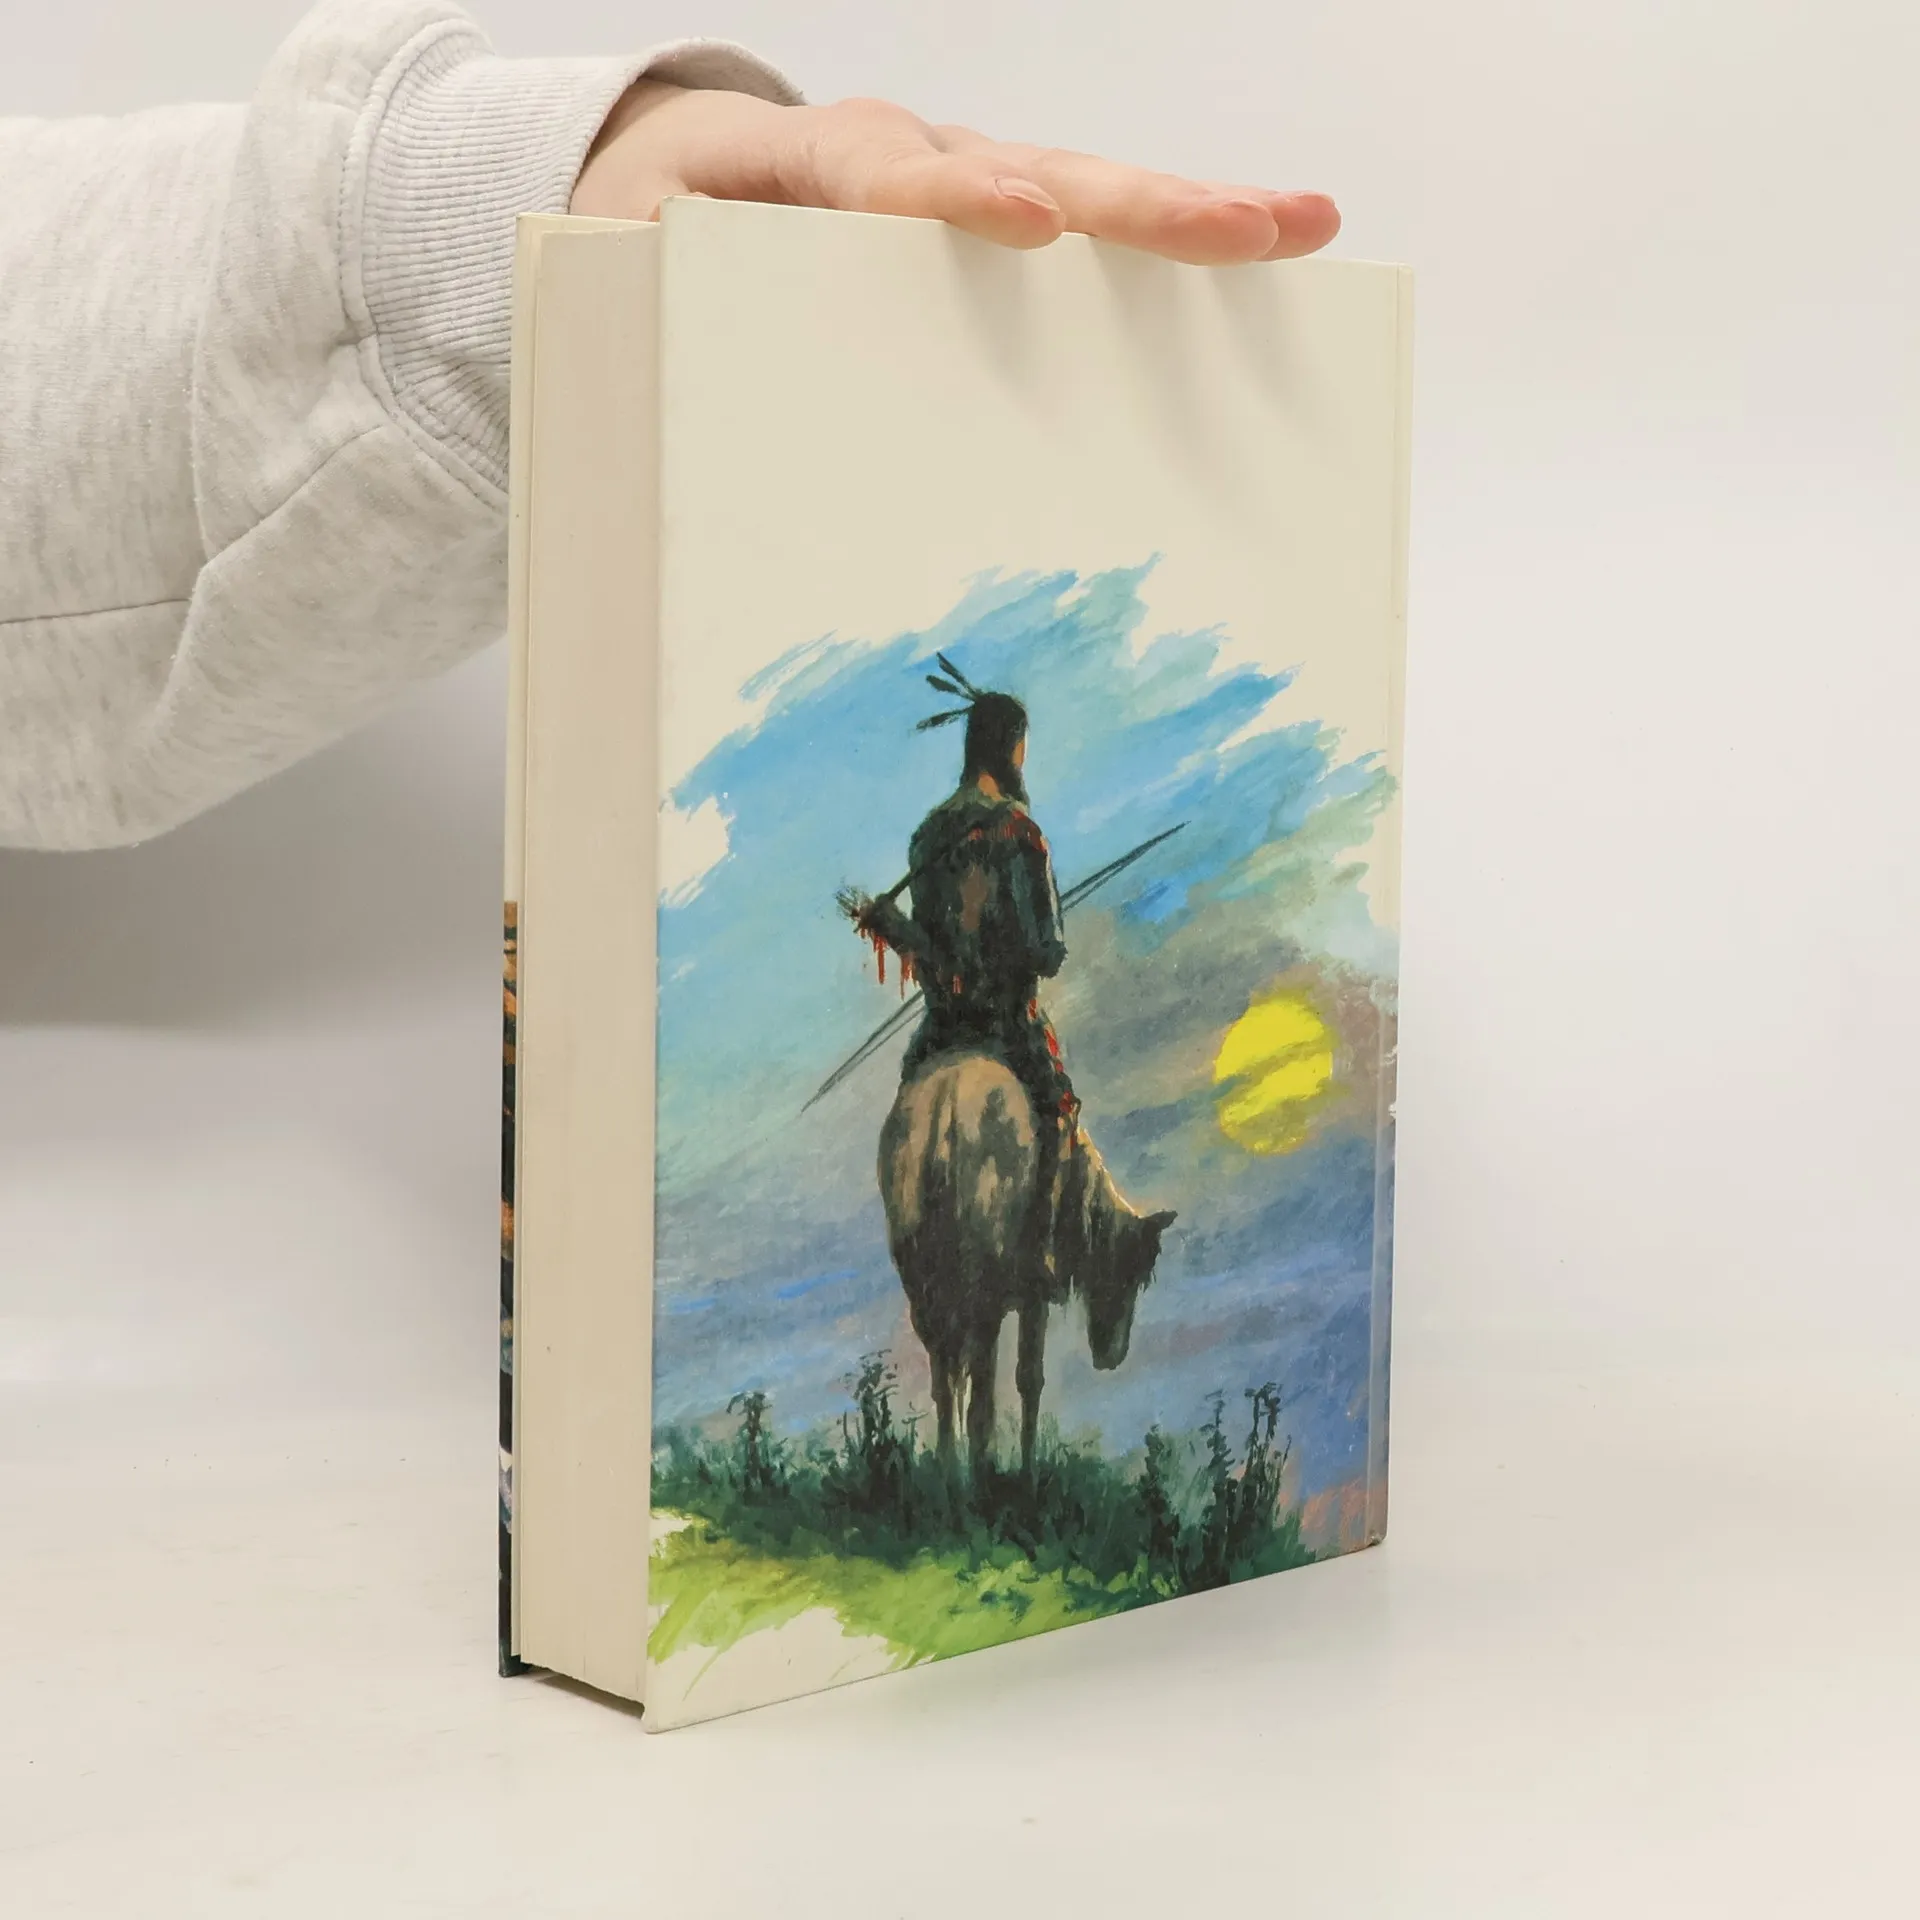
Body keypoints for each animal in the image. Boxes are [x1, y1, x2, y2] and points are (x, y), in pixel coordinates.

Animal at [877, 1050, 1176, 1484]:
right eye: (1132, 1276)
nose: (1112, 1355)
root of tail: (945, 1106)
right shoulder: (1034, 1297)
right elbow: (1029, 1379)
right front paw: (1029, 1473)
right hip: (983, 1298)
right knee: (979, 1395)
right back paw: (982, 1475)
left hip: (924, 1292)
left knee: (947, 1383)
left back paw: (952, 1473)